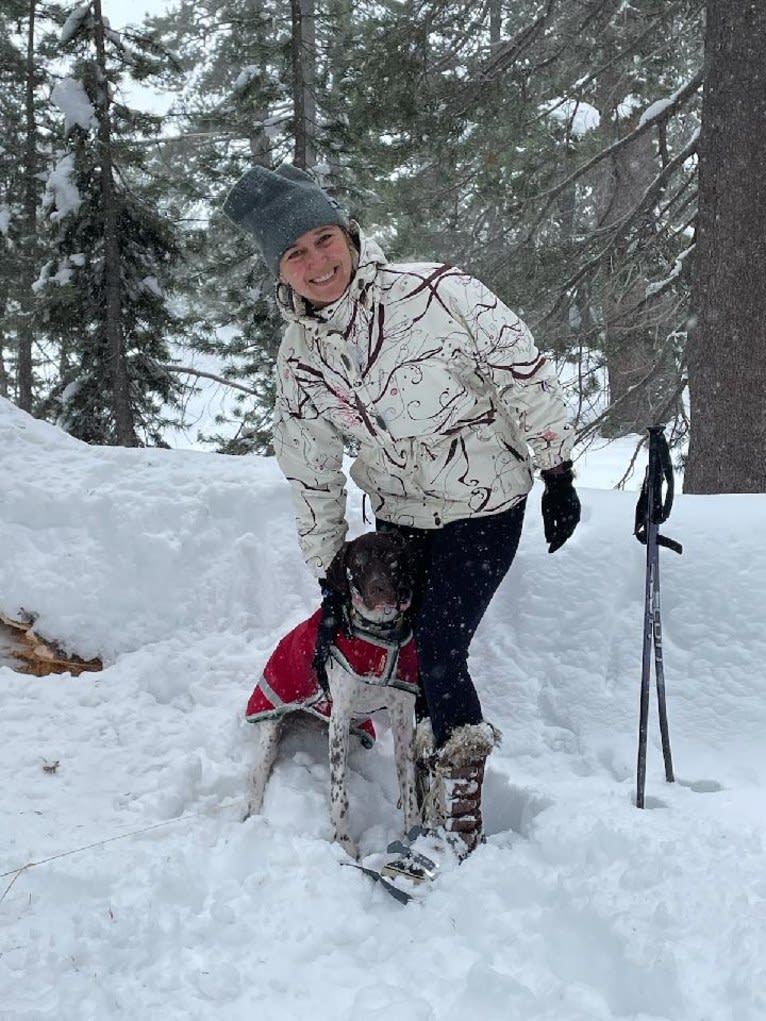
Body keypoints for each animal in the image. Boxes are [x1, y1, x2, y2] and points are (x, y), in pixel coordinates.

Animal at [246, 530, 420, 857]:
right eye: (358, 565)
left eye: (392, 558)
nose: (379, 590)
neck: (378, 637)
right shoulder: (340, 716)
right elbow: (339, 792)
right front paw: (344, 844)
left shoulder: (403, 716)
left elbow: (409, 782)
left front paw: (416, 834)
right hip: (271, 730)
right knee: (257, 781)